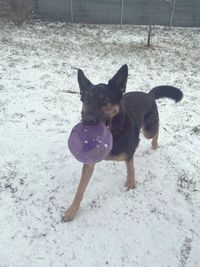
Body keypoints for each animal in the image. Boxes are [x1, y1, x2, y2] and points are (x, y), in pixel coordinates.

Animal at [63, 64, 183, 222]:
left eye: (105, 101)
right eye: (86, 99)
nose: (87, 121)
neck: (112, 133)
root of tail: (149, 95)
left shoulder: (129, 153)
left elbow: (131, 168)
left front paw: (131, 182)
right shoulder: (89, 163)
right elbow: (80, 188)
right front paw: (71, 211)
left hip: (148, 131)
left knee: (156, 131)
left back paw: (154, 145)